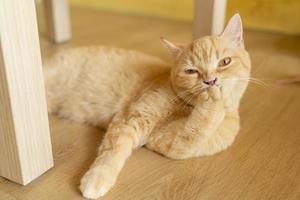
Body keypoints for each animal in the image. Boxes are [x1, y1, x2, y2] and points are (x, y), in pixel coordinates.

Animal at [44, 13, 251, 199]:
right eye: (191, 71)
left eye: (225, 62)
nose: (210, 81)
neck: (187, 108)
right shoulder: (133, 117)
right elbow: (112, 152)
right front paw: (97, 179)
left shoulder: (171, 144)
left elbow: (194, 133)